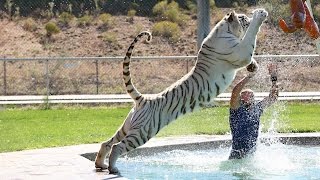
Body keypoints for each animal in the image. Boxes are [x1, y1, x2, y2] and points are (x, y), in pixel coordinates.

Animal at [94, 8, 268, 174]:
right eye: (243, 18)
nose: (248, 17)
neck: (225, 30)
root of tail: (143, 99)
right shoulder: (241, 52)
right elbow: (251, 36)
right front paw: (260, 15)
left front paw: (254, 67)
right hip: (142, 132)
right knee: (117, 146)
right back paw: (113, 168)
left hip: (127, 127)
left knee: (107, 143)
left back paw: (100, 164)